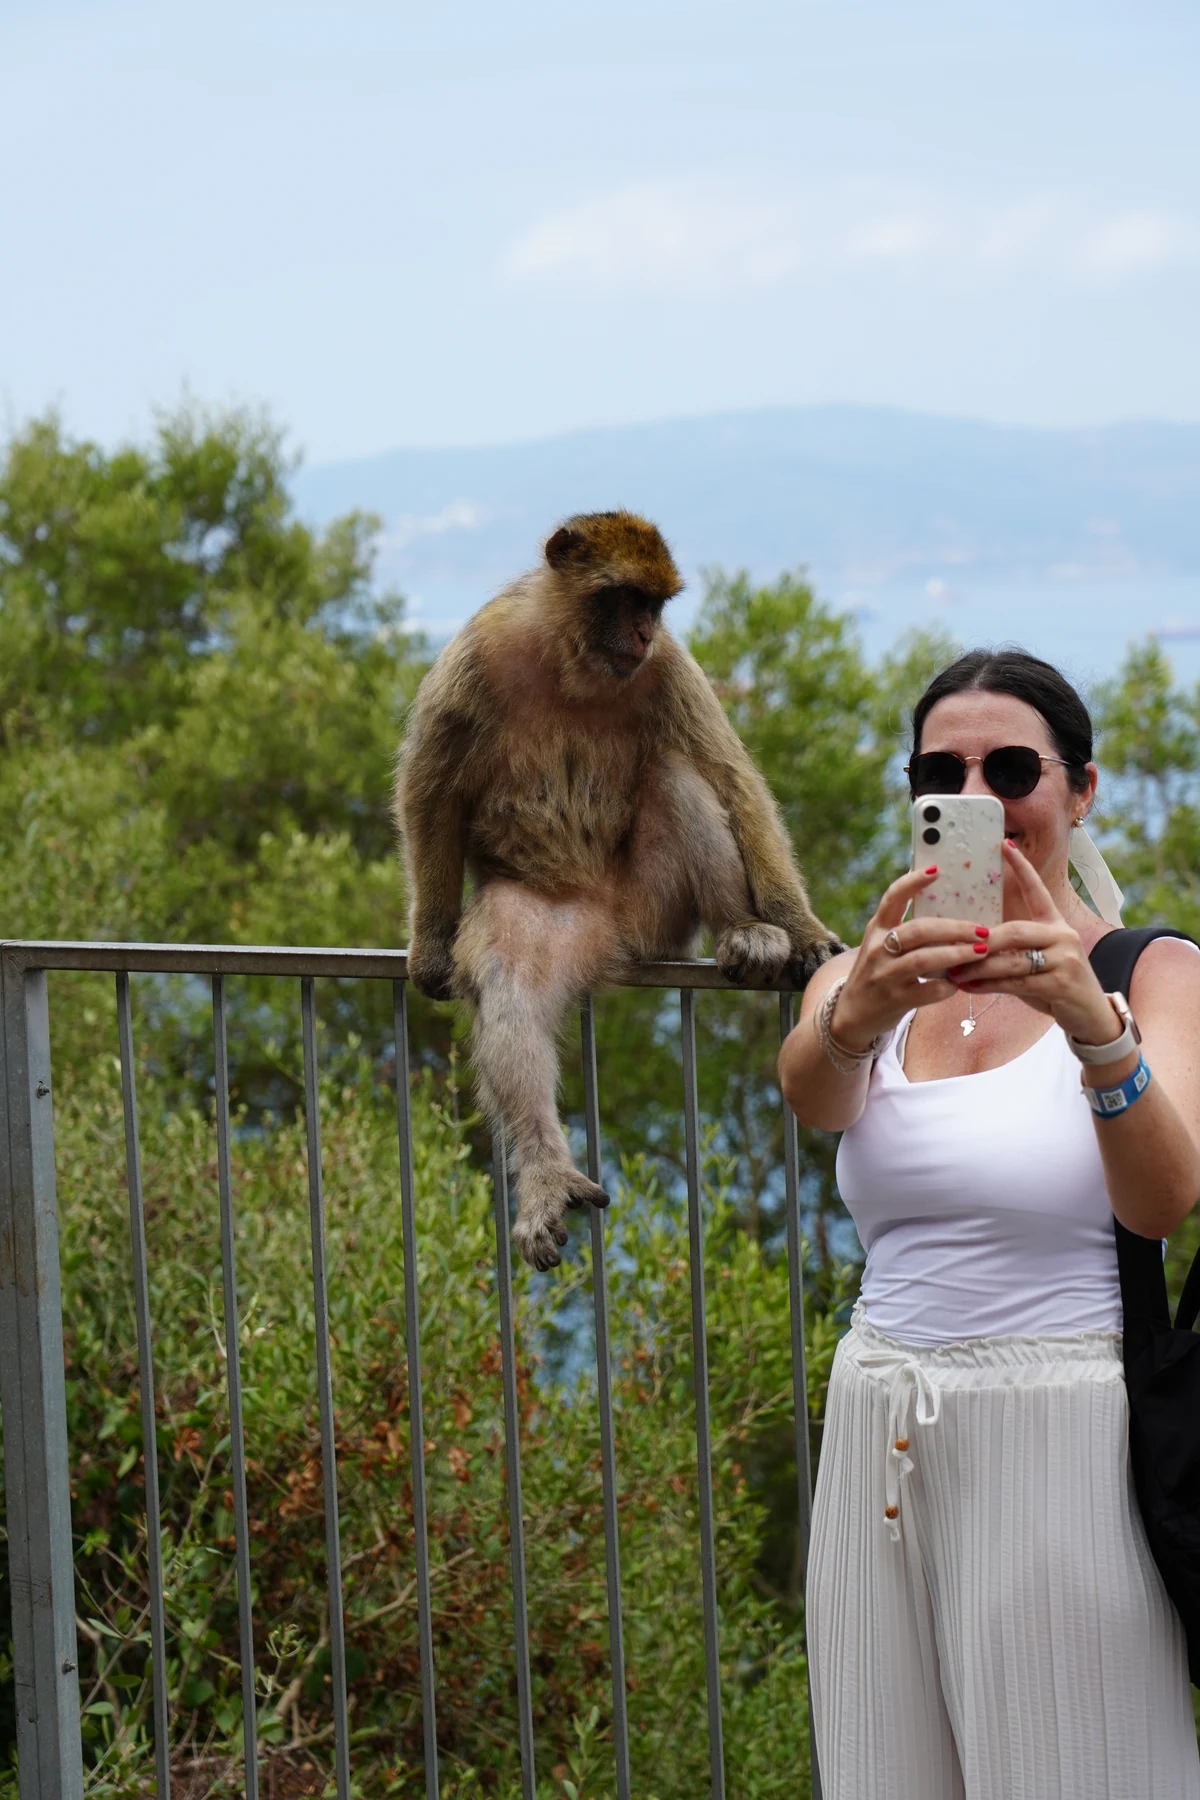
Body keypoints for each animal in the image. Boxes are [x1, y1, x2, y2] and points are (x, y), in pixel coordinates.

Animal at [395, 510, 841, 1272]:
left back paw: (745, 932)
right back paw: (546, 1173)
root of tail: (608, 934)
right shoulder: (474, 655)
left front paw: (801, 928)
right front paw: (428, 944)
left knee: (676, 774)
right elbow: (431, 790)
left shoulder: (669, 668)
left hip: (657, 914)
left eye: (654, 606)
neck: (569, 660)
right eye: (625, 597)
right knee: (512, 986)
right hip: (546, 918)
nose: (642, 634)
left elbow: (731, 779)